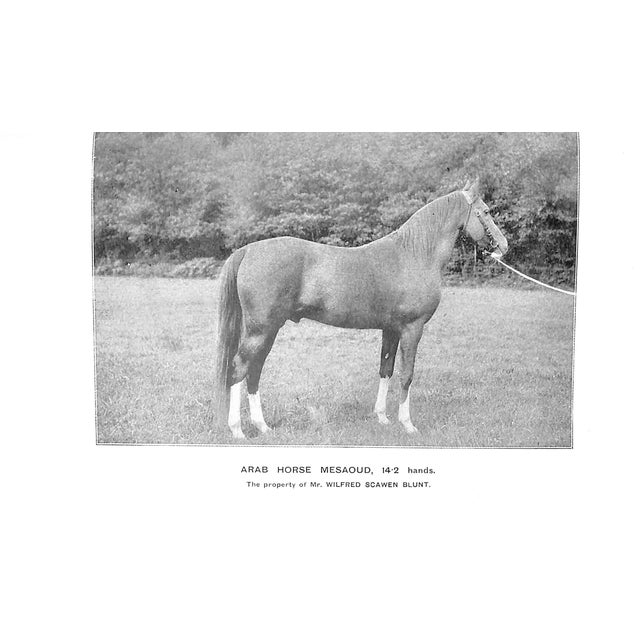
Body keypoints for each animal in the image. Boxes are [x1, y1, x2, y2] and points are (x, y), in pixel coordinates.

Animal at [213, 178, 508, 439]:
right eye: (486, 211)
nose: (504, 246)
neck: (414, 254)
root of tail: (248, 250)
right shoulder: (412, 329)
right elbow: (407, 375)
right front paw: (407, 424)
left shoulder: (391, 330)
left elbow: (386, 369)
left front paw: (382, 418)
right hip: (261, 331)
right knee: (239, 368)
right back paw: (238, 430)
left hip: (268, 331)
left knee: (254, 371)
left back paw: (262, 427)